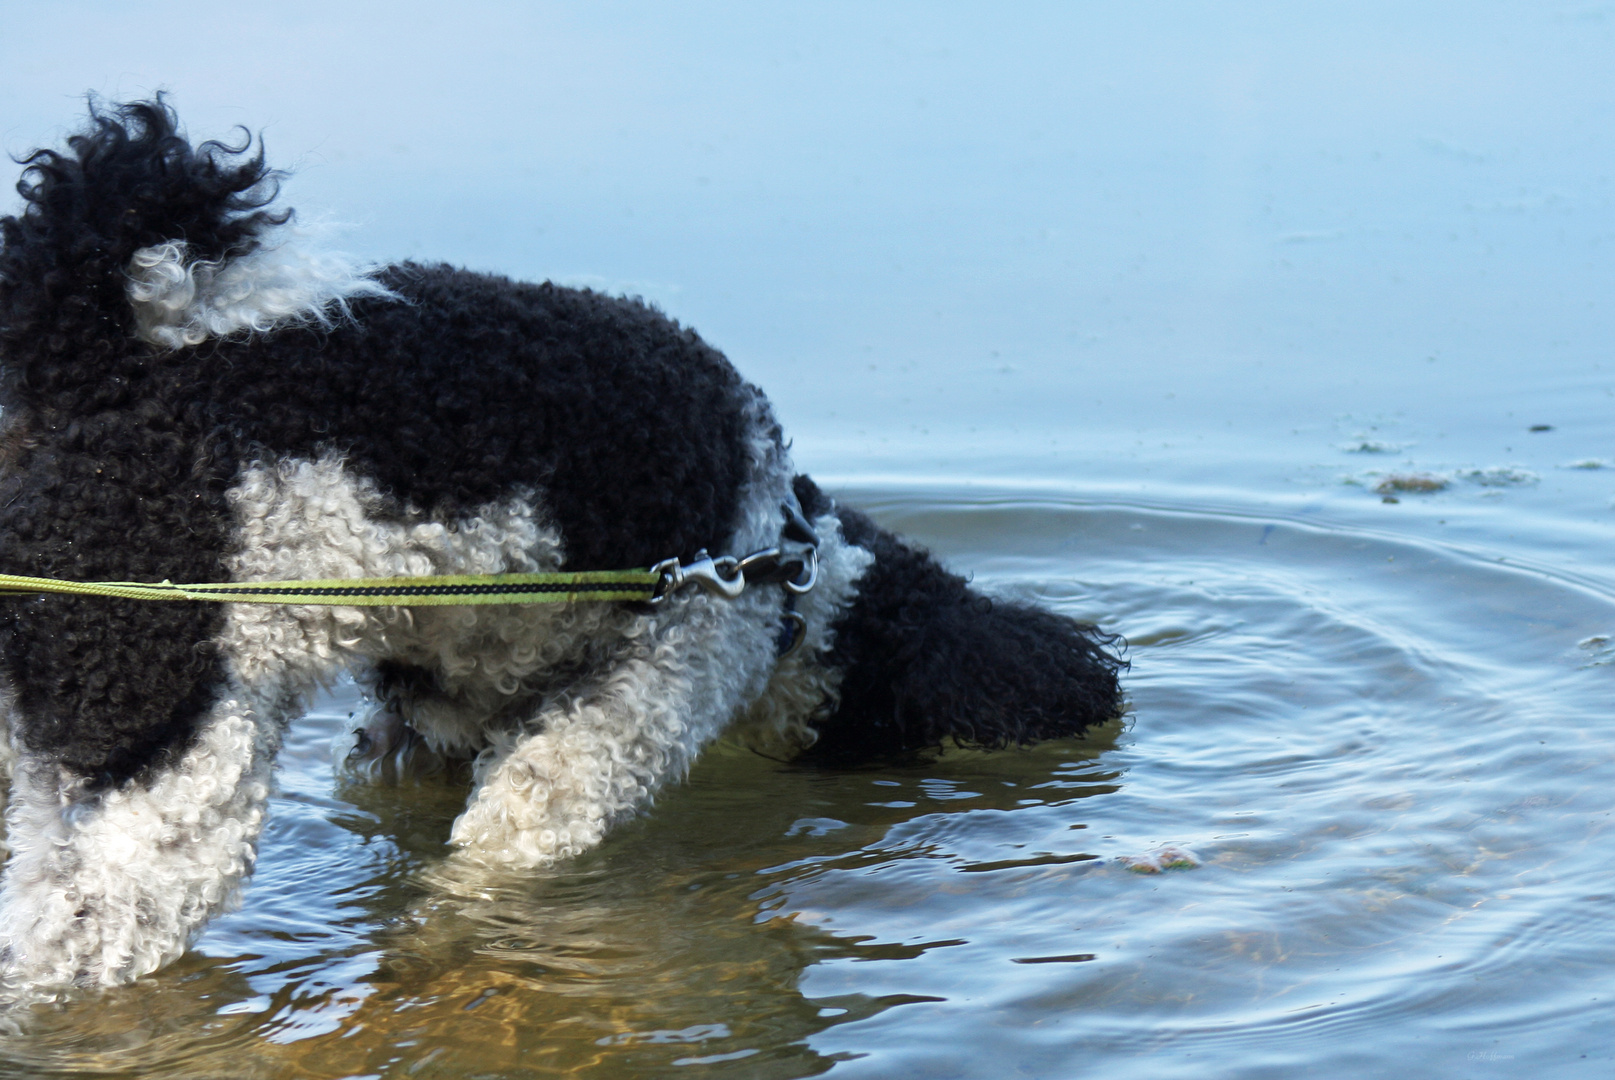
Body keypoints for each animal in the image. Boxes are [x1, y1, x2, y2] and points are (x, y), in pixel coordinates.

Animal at [0, 100, 1124, 994]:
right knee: (68, 938)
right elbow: (511, 839)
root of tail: (103, 373)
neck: (788, 562)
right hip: (169, 743)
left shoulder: (424, 725)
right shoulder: (641, 703)